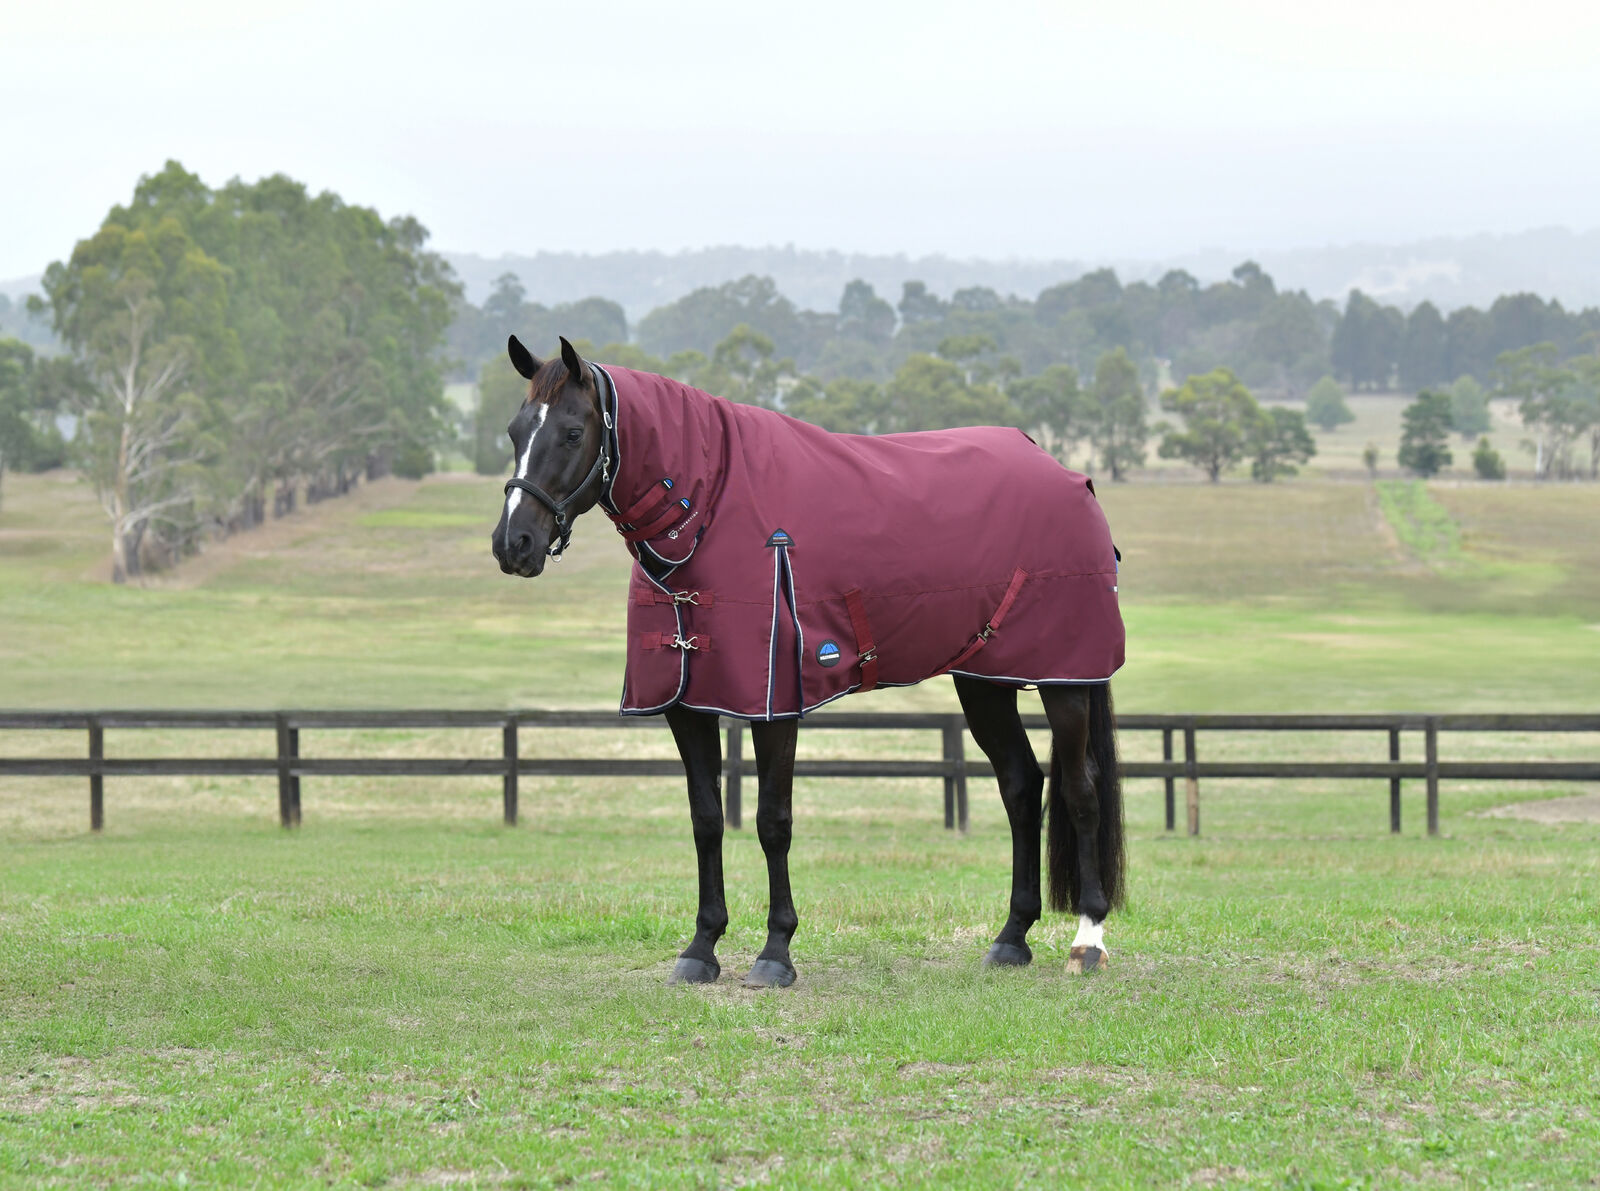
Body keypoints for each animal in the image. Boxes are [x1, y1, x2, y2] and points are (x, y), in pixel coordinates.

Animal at [490, 334, 1125, 987]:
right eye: (514, 430)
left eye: (571, 432)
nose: (513, 544)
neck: (711, 507)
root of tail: (1067, 474)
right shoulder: (687, 705)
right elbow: (707, 819)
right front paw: (701, 947)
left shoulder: (775, 707)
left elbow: (773, 821)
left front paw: (776, 952)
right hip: (983, 681)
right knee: (1021, 787)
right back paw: (1011, 937)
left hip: (1065, 679)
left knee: (1080, 791)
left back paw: (1088, 939)